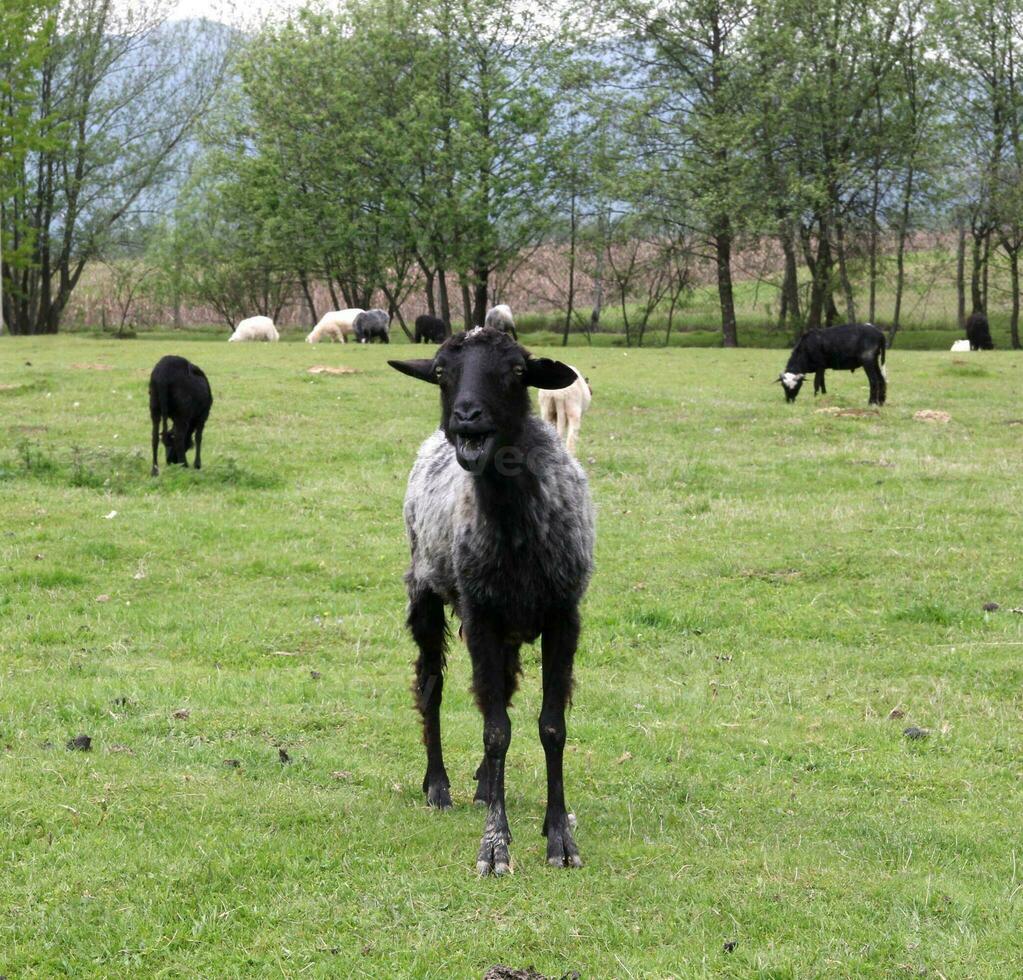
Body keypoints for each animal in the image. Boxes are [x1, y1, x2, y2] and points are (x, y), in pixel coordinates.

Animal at [384, 325, 597, 879]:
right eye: (441, 371)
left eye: (518, 371)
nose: (466, 417)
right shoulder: (480, 615)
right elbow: (495, 731)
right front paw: (495, 845)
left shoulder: (563, 615)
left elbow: (551, 726)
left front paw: (559, 835)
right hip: (427, 593)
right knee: (432, 688)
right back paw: (439, 786)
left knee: (501, 690)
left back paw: (483, 783)